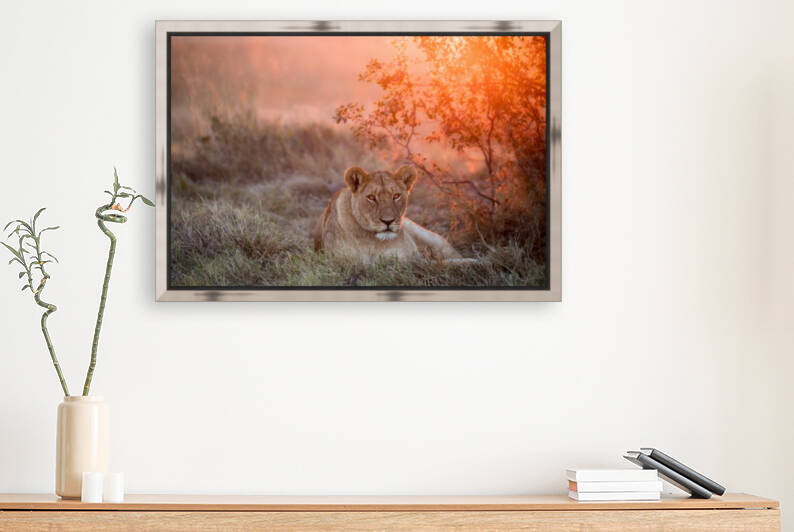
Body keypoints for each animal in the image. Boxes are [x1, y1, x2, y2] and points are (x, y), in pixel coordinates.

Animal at [314, 165, 466, 263]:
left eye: (396, 196)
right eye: (371, 197)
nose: (388, 221)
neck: (375, 242)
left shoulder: (411, 259)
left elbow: (445, 264)